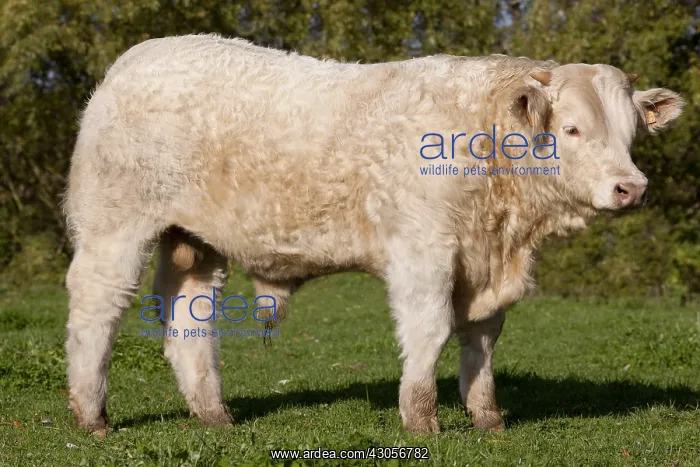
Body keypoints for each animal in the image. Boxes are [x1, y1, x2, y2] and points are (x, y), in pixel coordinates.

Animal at [63, 33, 684, 435]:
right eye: (572, 128)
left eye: (632, 132)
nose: (630, 188)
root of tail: (136, 57)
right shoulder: (423, 250)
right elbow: (430, 330)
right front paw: (421, 419)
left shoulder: (485, 262)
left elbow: (482, 338)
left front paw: (487, 418)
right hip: (114, 225)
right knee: (98, 307)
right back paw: (92, 416)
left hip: (195, 240)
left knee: (188, 317)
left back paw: (214, 415)